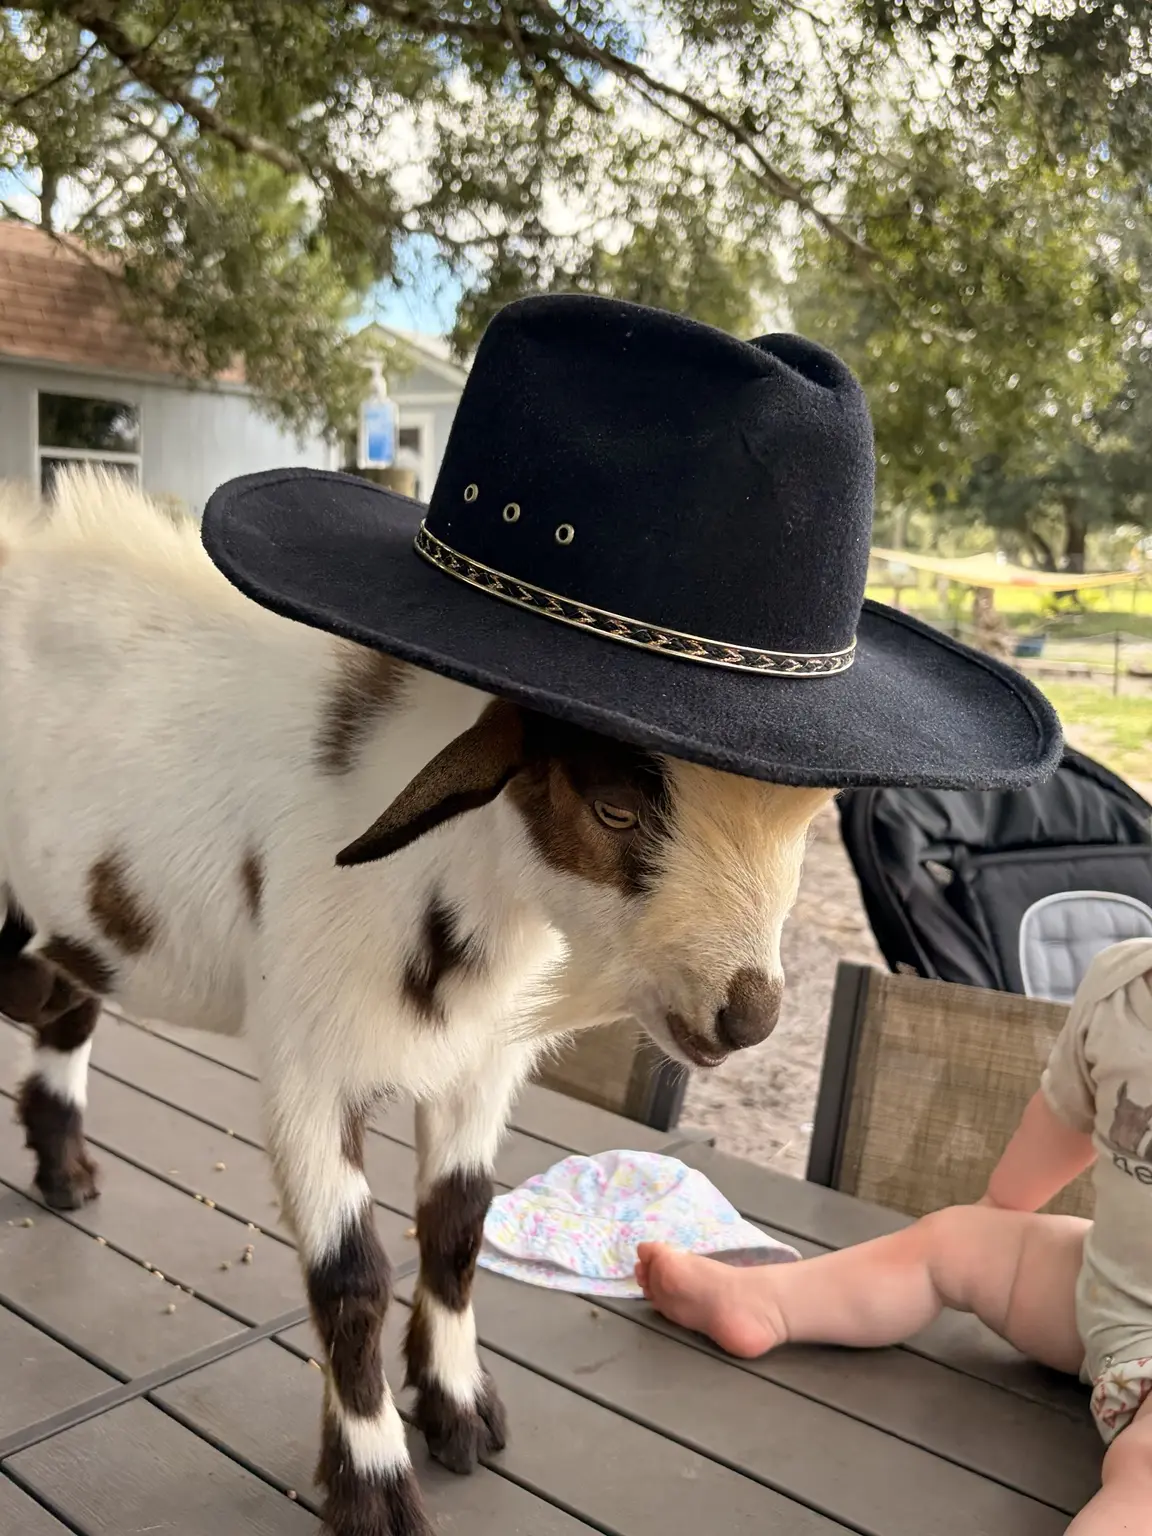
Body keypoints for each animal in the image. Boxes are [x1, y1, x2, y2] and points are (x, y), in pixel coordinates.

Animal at [0, 466, 828, 1536]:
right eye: (613, 808)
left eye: (811, 822)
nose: (748, 1014)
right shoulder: (308, 1065)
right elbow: (349, 1278)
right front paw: (374, 1484)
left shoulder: (481, 1062)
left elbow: (457, 1227)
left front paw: (457, 1407)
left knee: (66, 1006)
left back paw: (65, 1172)